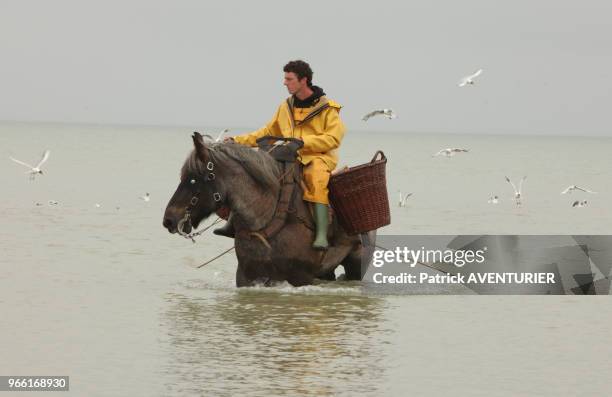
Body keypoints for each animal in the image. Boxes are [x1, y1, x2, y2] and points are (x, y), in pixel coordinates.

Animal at [163, 132, 372, 284]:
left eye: (193, 179)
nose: (169, 220)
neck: (265, 218)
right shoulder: (247, 276)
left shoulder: (302, 278)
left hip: (356, 262)